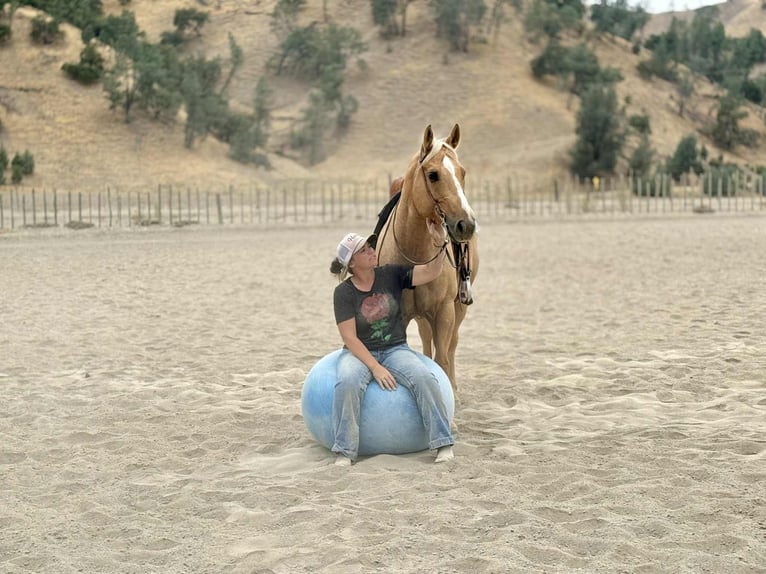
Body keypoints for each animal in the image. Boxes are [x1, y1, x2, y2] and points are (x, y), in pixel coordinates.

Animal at [376, 124, 478, 394]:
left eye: (462, 173)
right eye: (433, 175)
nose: (466, 225)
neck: (414, 259)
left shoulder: (444, 312)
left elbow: (442, 358)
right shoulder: (401, 316)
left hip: (459, 306)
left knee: (451, 346)